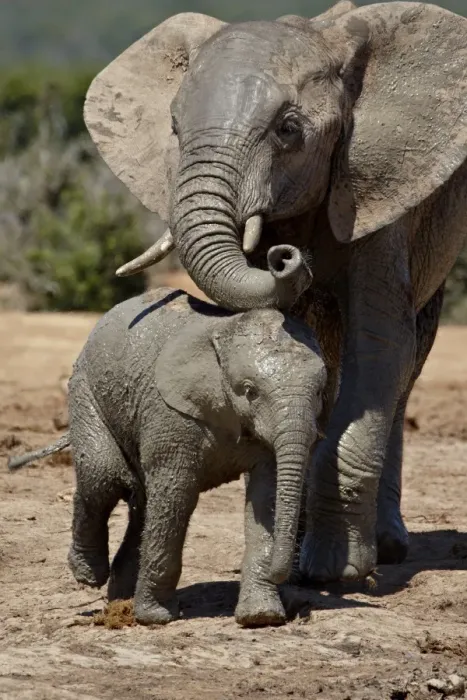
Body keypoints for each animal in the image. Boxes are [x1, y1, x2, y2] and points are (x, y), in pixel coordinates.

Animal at [8, 288, 326, 627]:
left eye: (320, 392)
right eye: (249, 390)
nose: (284, 576)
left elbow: (267, 497)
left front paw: (261, 616)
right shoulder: (170, 413)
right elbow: (178, 494)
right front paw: (156, 618)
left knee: (140, 500)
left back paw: (121, 600)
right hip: (85, 388)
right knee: (104, 477)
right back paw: (90, 575)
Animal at [82, 0, 467, 582]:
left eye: (289, 130)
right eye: (173, 127)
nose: (284, 257)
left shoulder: (375, 193)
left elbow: (379, 345)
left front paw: (335, 572)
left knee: (406, 362)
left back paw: (384, 548)